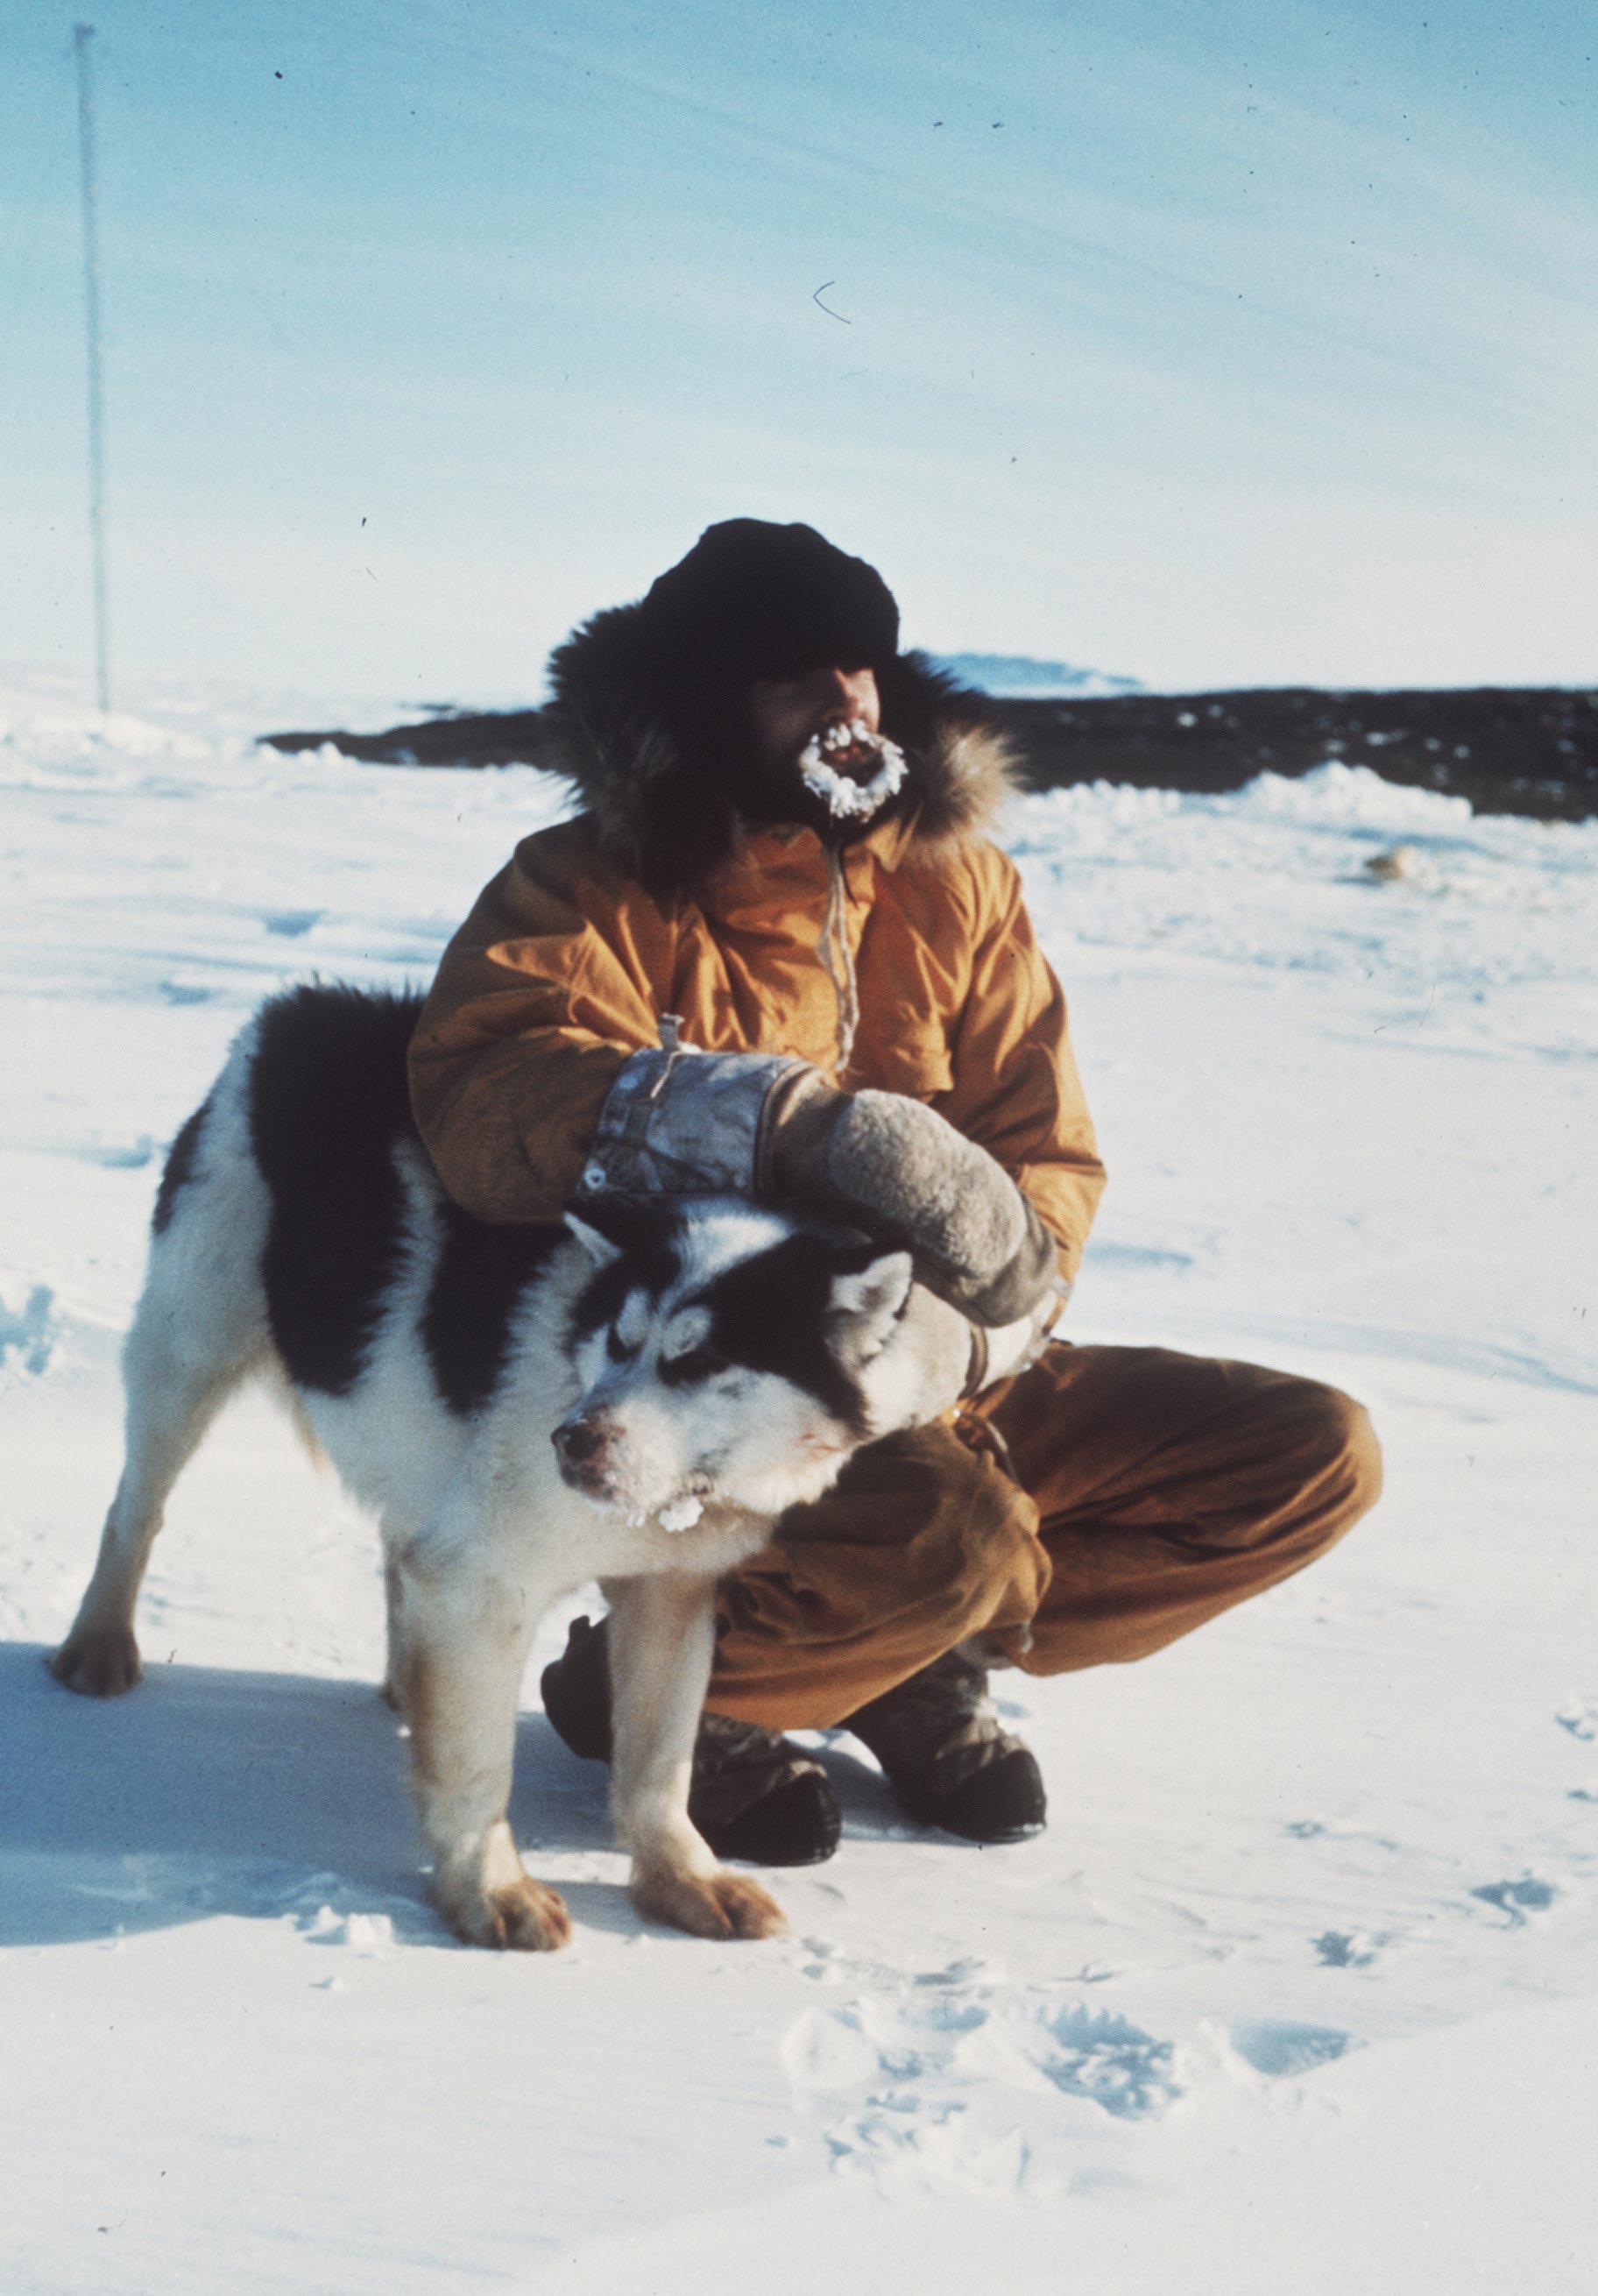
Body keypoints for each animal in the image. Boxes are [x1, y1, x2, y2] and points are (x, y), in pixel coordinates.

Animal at [53, 978, 973, 1946]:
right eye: (620, 1339)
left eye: (698, 1360)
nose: (573, 1438)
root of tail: (301, 1009)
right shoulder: (482, 1580)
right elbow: (477, 1766)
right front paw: (487, 1889)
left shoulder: (670, 1596)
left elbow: (660, 1764)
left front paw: (680, 1878)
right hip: (188, 1353)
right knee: (137, 1507)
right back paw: (100, 1641)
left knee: (397, 1548)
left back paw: (402, 1679)